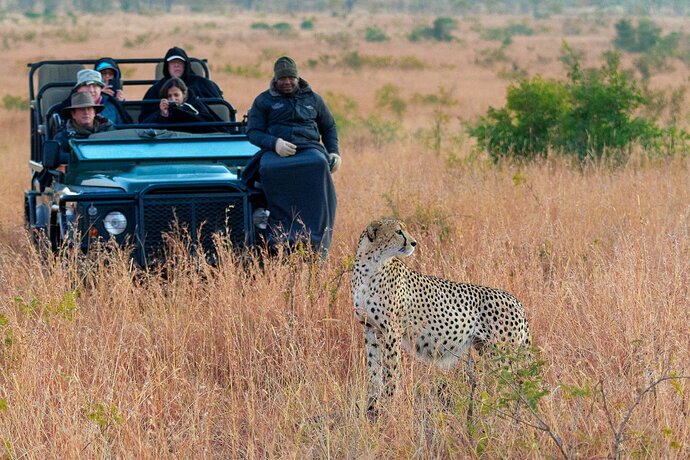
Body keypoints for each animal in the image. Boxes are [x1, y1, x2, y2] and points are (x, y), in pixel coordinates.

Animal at [351, 218, 531, 411]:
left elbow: (390, 370)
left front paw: (389, 402)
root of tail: (515, 300)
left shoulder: (393, 331)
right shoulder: (370, 328)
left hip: (502, 352)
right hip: (486, 348)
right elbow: (374, 368)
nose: (414, 243)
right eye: (398, 231)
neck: (370, 265)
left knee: (515, 385)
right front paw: (372, 404)